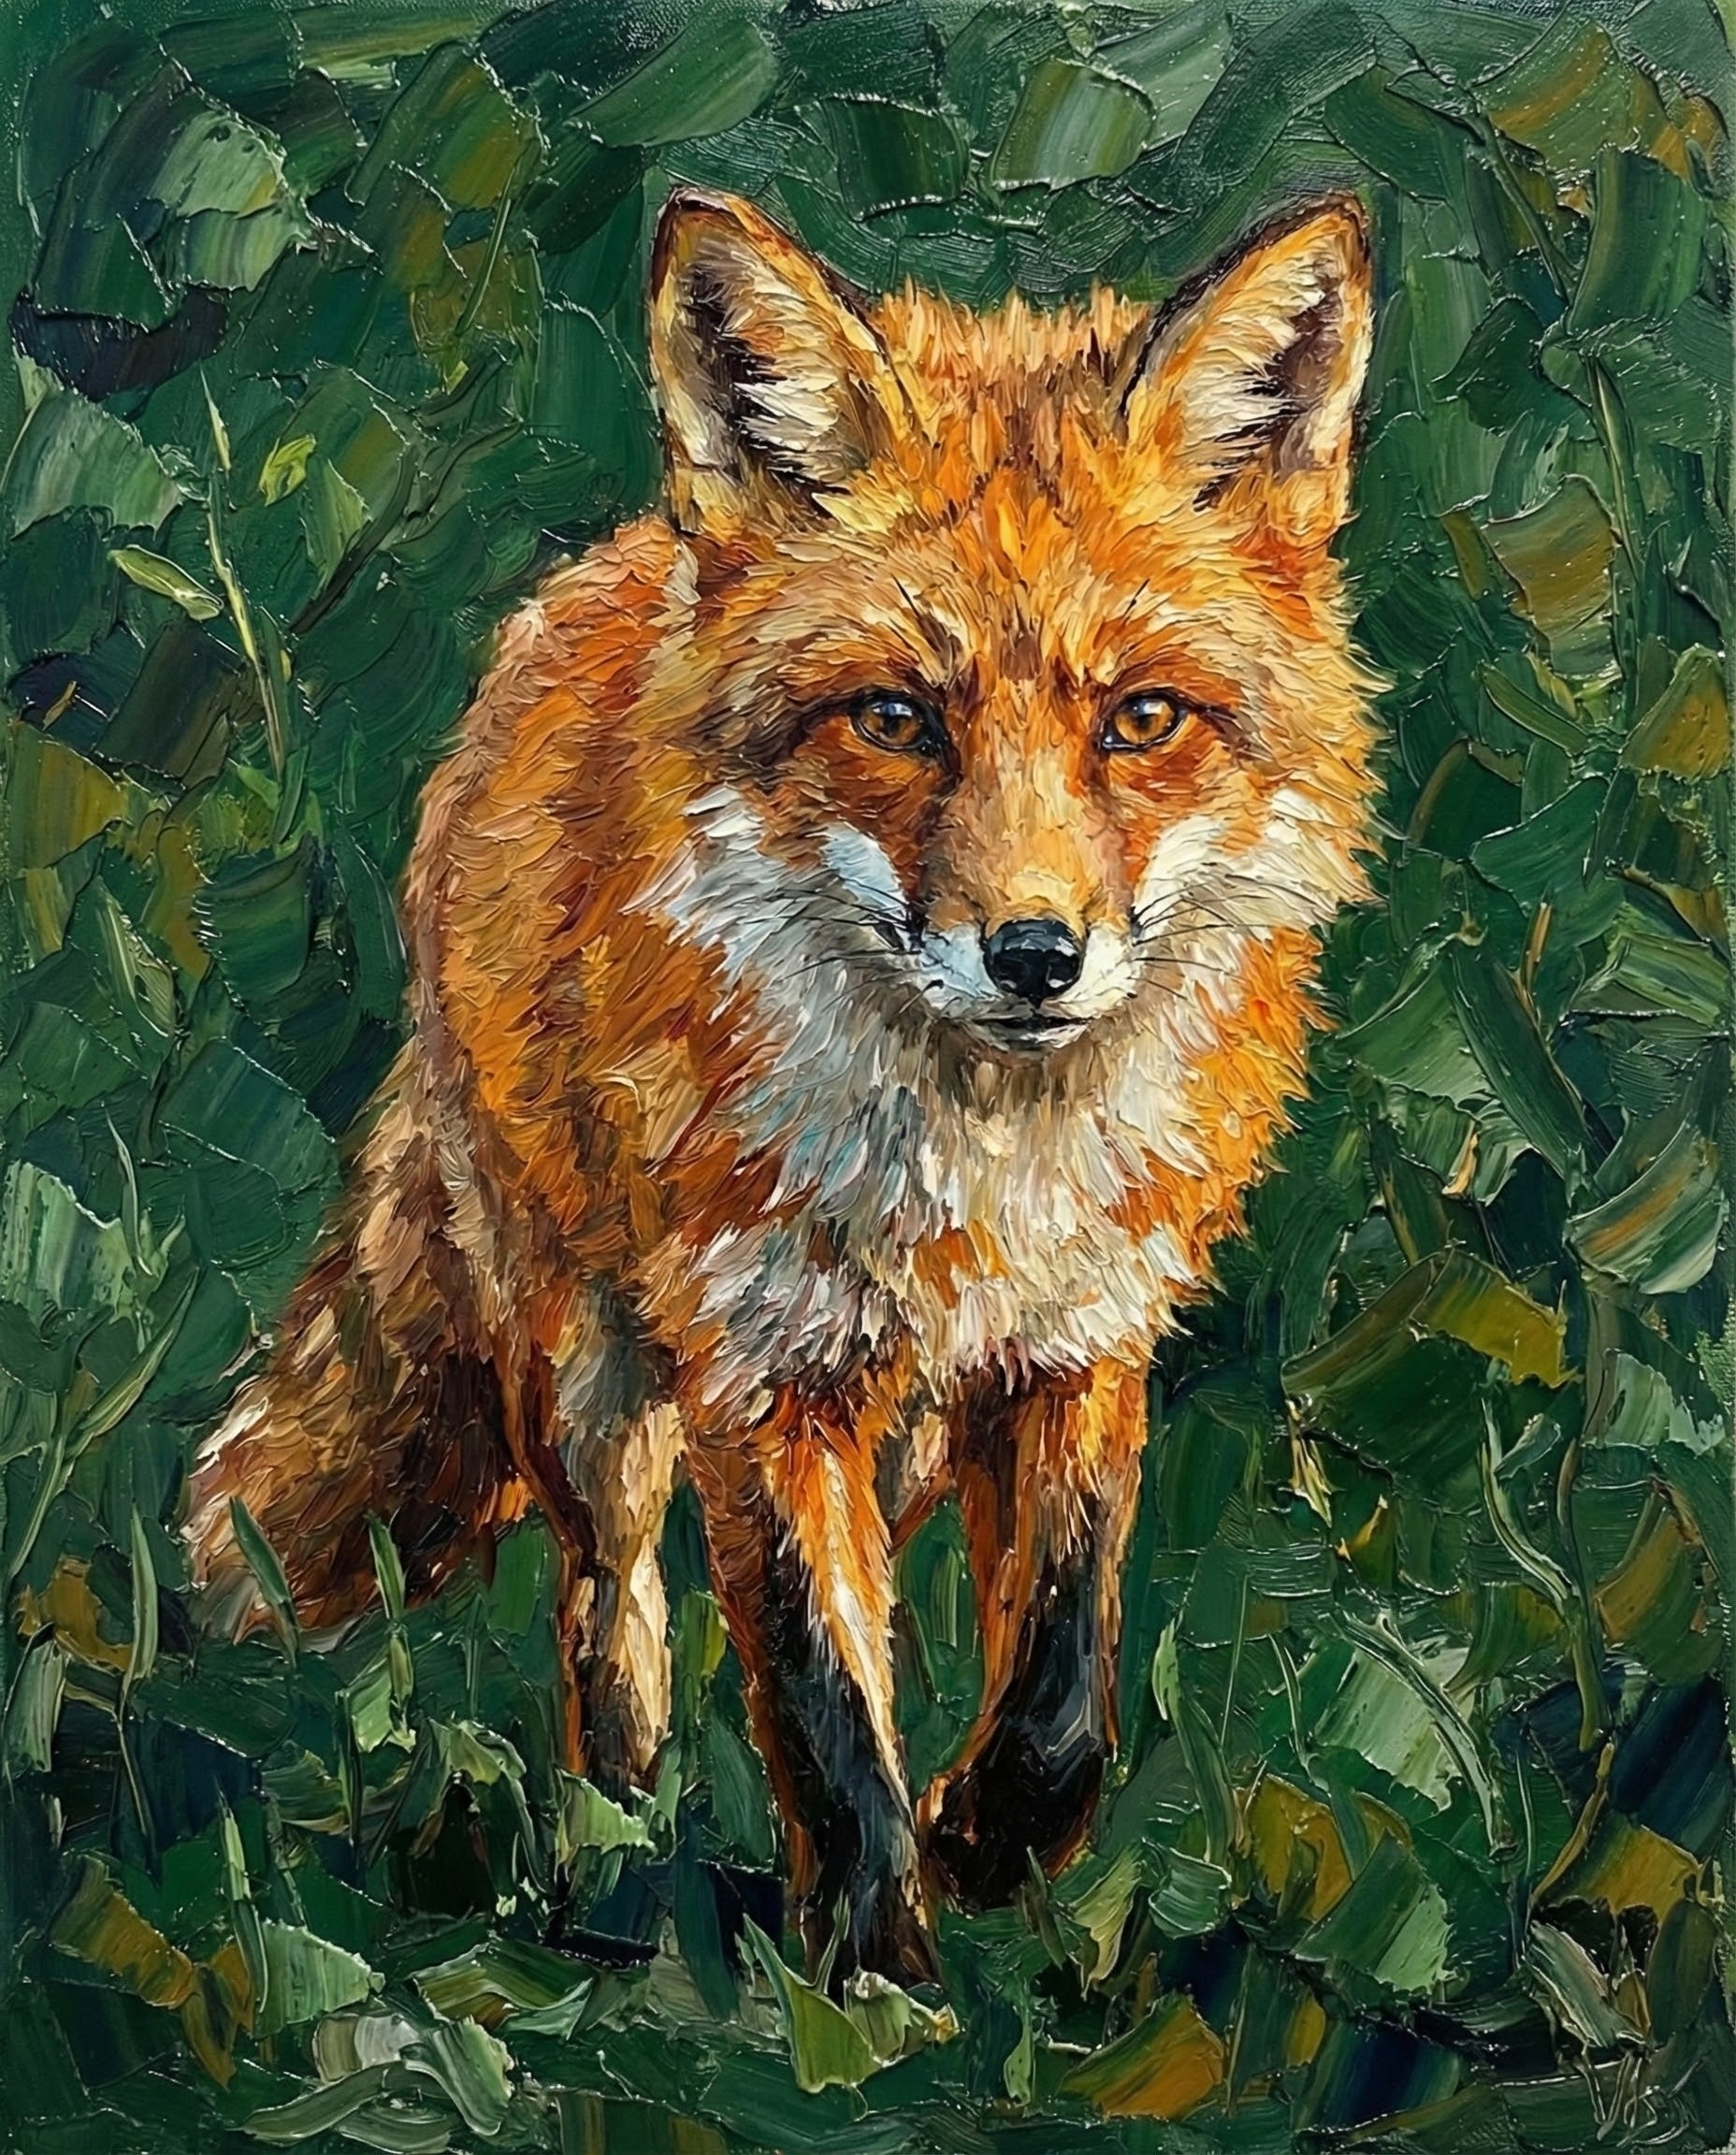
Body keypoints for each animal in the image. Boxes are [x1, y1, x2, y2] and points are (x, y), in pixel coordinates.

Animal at [186, 185, 1378, 1992]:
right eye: (894, 717)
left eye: (1141, 718)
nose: (1035, 955)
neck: (979, 1170)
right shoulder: (763, 1361)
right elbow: (822, 1697)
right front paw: (876, 1981)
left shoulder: (1083, 1339)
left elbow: (1064, 1669)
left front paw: (988, 1839)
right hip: (586, 1366)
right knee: (606, 1600)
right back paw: (609, 1847)